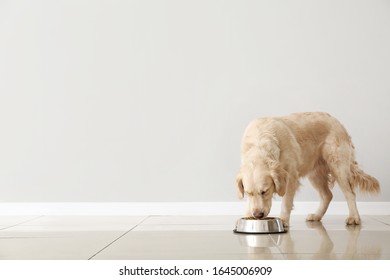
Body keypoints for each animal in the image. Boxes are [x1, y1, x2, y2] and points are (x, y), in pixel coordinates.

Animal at [236, 111, 380, 225]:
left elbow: (286, 202)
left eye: (265, 191)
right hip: (315, 173)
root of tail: (337, 121)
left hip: (338, 166)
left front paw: (283, 221)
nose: (258, 215)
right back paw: (317, 215)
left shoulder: (291, 177)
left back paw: (354, 217)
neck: (260, 142)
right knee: (327, 195)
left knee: (350, 194)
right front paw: (248, 214)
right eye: (248, 193)